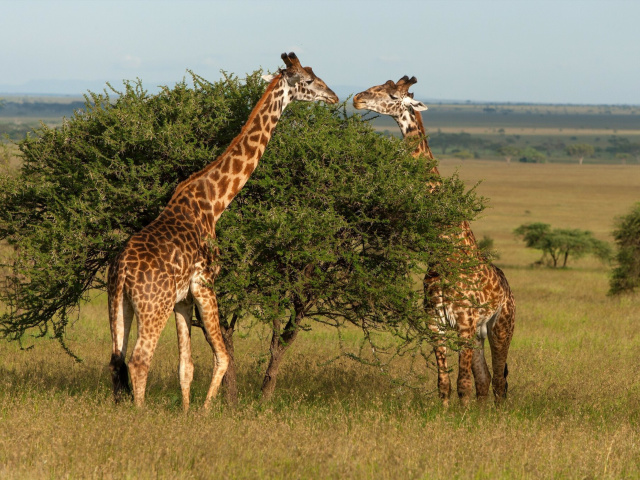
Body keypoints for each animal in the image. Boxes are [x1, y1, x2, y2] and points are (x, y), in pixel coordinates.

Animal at [107, 53, 338, 412]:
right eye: (309, 81)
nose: (334, 97)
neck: (214, 202)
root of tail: (122, 271)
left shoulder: (183, 298)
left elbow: (186, 365)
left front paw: (186, 412)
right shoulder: (205, 283)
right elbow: (223, 357)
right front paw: (204, 411)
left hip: (119, 305)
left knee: (116, 359)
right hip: (153, 306)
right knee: (139, 359)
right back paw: (140, 414)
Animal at [352, 77, 516, 406]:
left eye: (392, 95)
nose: (357, 99)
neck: (444, 247)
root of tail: (509, 290)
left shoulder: (464, 322)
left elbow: (462, 383)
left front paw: (461, 416)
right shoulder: (435, 322)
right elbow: (444, 382)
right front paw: (444, 413)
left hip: (502, 326)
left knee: (499, 382)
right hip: (480, 332)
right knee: (485, 380)